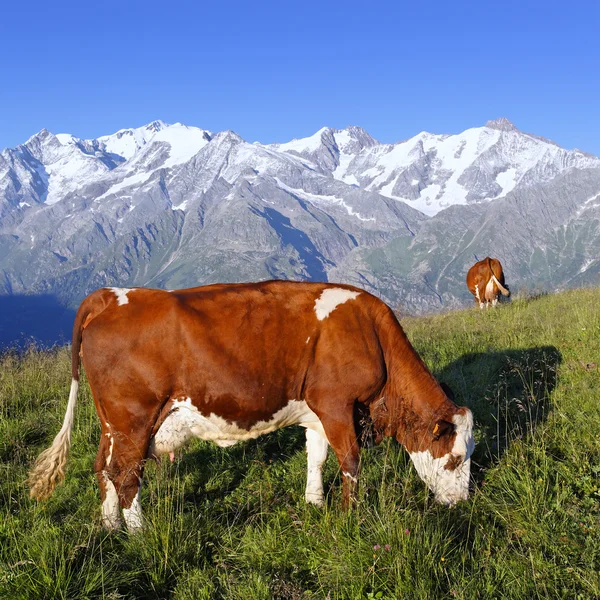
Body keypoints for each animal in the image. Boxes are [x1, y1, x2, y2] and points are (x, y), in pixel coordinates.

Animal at [31, 280, 474, 528]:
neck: (371, 332)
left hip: (112, 423)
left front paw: (314, 503)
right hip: (135, 419)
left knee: (102, 468)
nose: (462, 504)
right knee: (125, 476)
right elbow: (350, 462)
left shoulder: (317, 412)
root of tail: (111, 295)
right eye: (455, 459)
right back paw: (139, 533)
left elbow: (317, 458)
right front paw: (350, 515)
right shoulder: (337, 405)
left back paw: (112, 528)